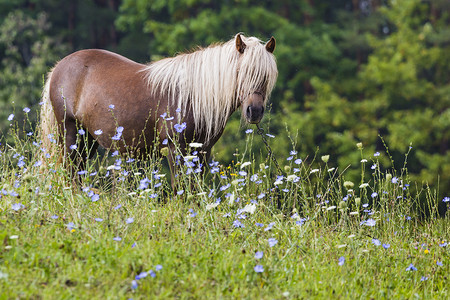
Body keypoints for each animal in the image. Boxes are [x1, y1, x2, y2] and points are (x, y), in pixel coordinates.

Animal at [39, 33, 278, 185]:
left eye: (267, 76)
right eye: (241, 72)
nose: (254, 111)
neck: (192, 96)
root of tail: (60, 66)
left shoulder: (202, 152)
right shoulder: (176, 150)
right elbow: (181, 189)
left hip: (87, 140)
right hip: (69, 134)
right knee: (70, 173)